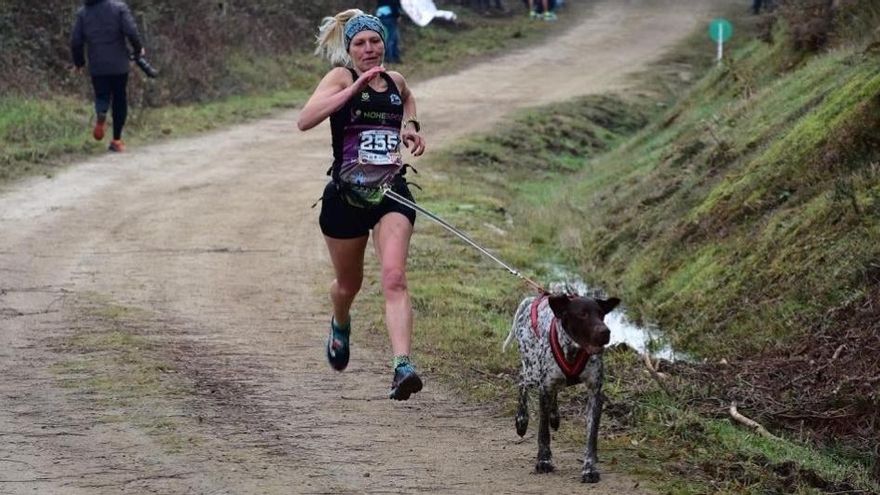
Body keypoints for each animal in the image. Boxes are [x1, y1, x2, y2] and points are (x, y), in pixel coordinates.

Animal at [502, 292, 620, 482]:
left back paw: (554, 415)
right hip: (532, 371)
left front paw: (589, 468)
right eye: (582, 314)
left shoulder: (595, 394)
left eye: (601, 314)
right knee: (521, 381)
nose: (605, 332)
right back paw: (521, 420)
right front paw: (544, 461)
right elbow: (543, 433)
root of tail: (531, 300)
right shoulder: (544, 389)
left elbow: (591, 437)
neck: (573, 350)